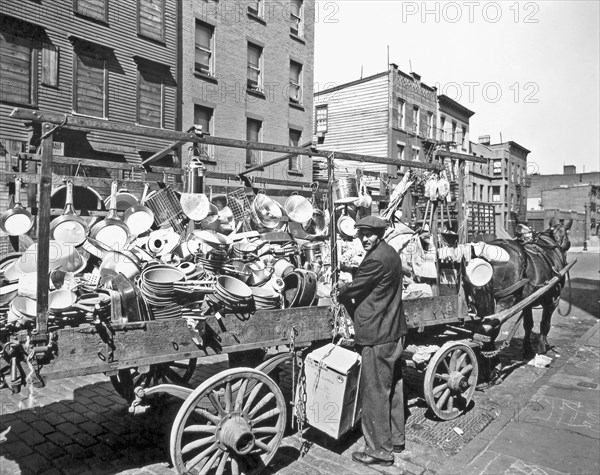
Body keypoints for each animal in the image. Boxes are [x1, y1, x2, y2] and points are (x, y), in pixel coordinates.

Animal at [482, 218, 572, 358]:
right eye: (567, 233)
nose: (568, 244)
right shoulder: (552, 300)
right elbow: (545, 323)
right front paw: (542, 347)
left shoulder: (527, 302)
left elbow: (528, 324)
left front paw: (527, 348)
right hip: (505, 300)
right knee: (493, 324)